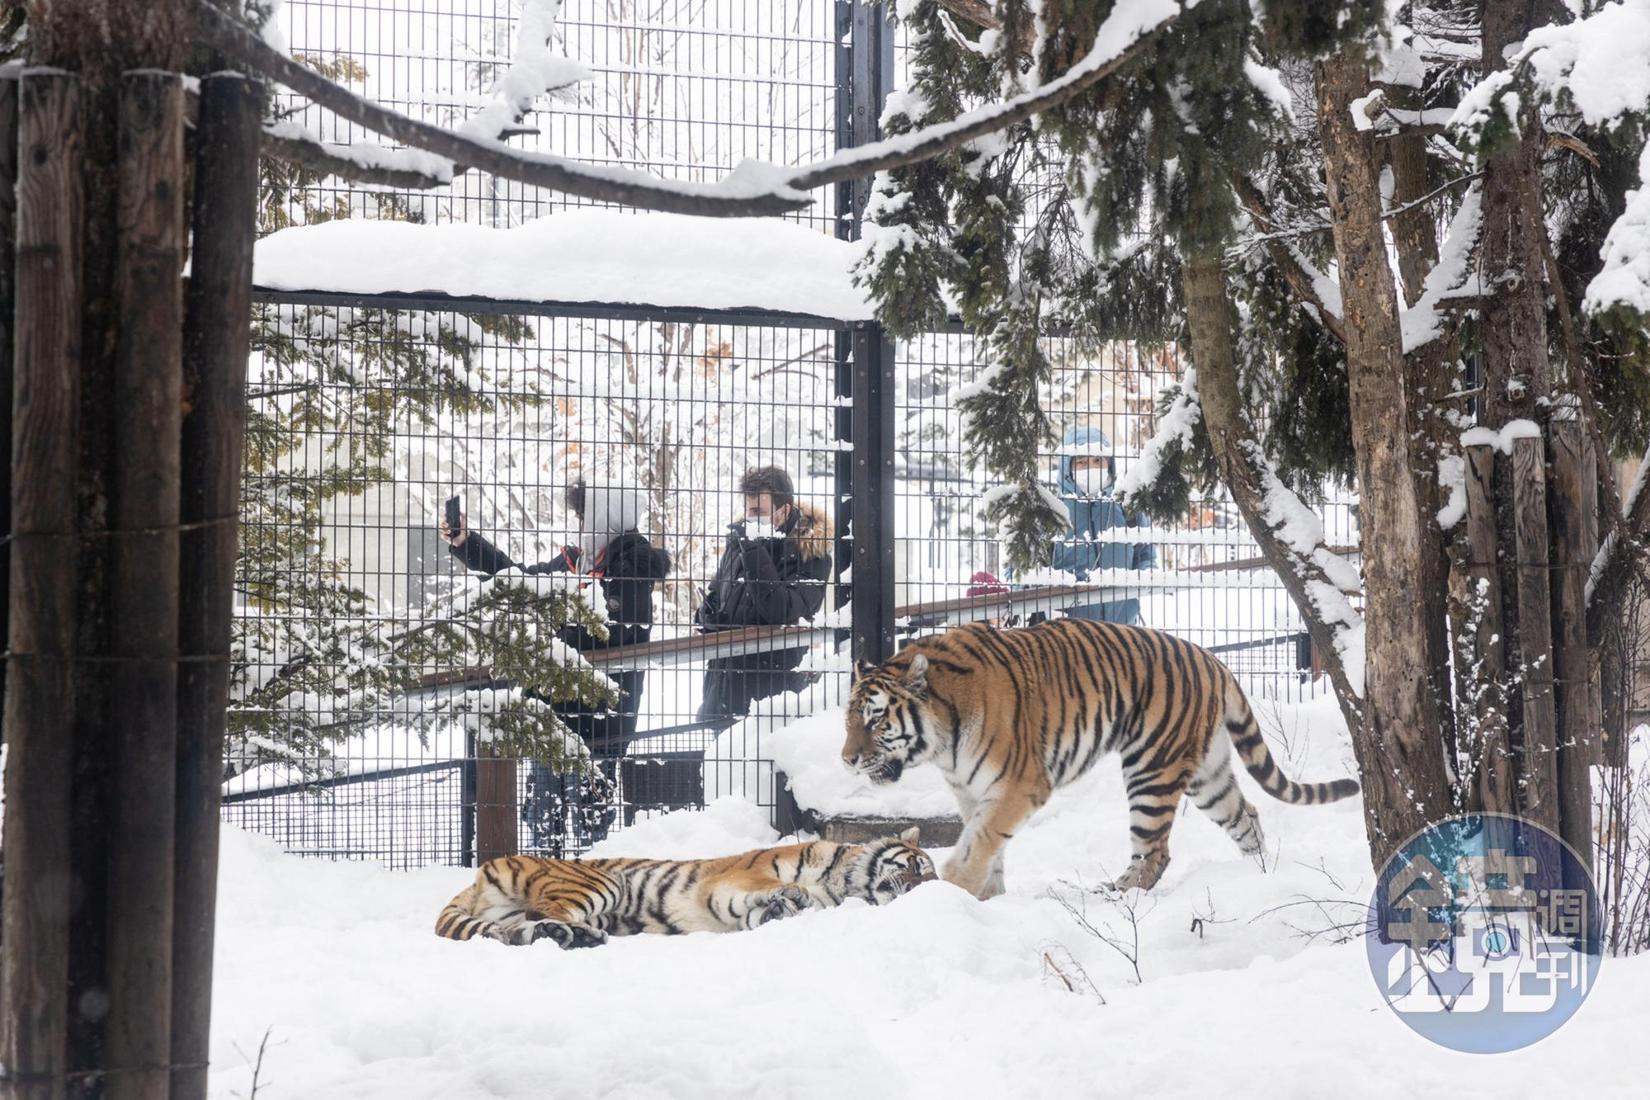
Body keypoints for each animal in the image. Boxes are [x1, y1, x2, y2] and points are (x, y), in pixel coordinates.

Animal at [840, 619, 1359, 899]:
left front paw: (954, 890)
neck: (942, 739)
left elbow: (980, 842)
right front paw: (986, 900)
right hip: (1207, 775)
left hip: (1153, 767)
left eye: (875, 720)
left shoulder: (1019, 784)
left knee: (1154, 852)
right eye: (848, 719)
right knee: (1245, 815)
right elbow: (987, 845)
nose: (846, 760)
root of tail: (1213, 660)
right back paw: (1259, 873)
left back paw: (1115, 896)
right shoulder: (972, 792)